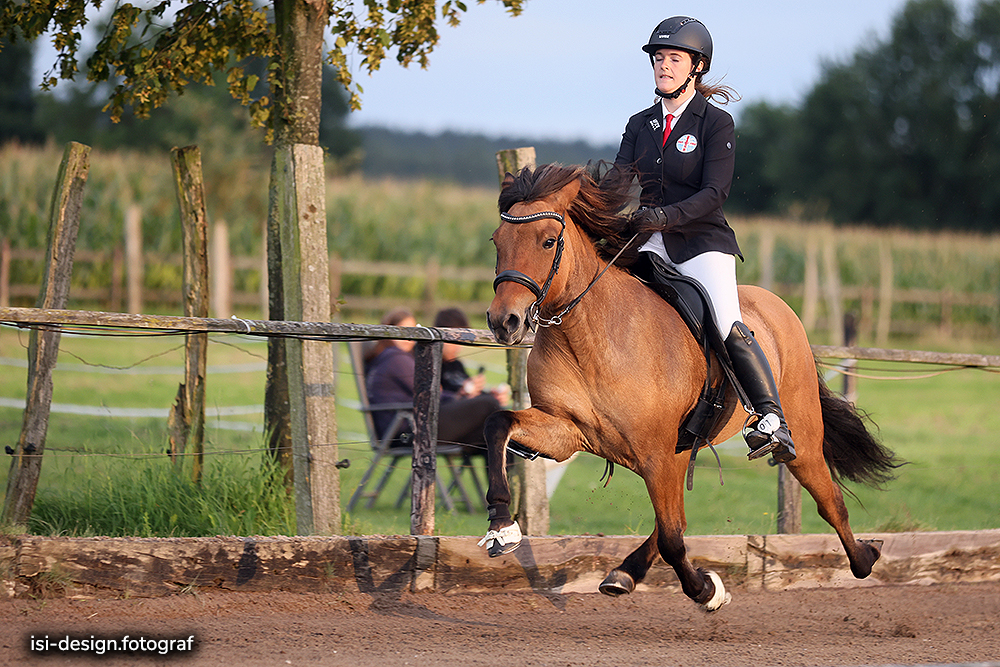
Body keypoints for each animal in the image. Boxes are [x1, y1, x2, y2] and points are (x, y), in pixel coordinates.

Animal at [476, 164, 900, 612]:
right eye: (497, 241)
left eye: (548, 241)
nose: (504, 321)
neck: (588, 335)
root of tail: (779, 308)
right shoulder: (568, 432)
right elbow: (497, 424)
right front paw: (502, 527)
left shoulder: (656, 455)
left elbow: (673, 538)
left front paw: (706, 590)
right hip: (681, 452)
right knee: (674, 520)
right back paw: (625, 572)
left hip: (798, 437)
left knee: (828, 500)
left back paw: (864, 558)